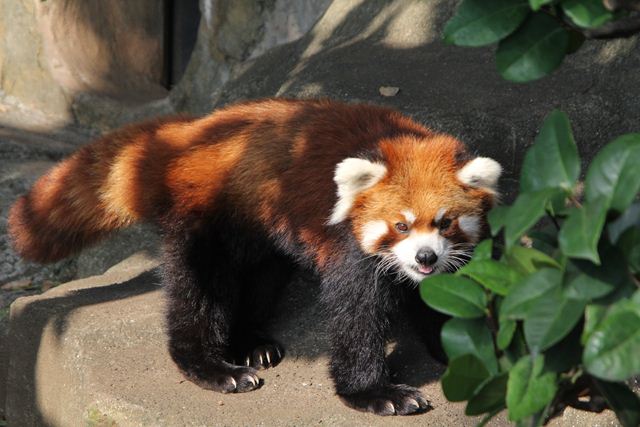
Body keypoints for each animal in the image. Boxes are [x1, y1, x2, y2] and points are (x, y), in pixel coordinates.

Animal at [7, 98, 502, 416]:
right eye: (400, 225)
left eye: (444, 222)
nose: (424, 258)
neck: (394, 140)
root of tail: (193, 131)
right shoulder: (348, 248)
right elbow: (355, 318)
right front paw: (376, 392)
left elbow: (444, 302)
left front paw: (469, 355)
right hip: (203, 219)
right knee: (197, 291)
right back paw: (211, 366)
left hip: (261, 229)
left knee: (261, 279)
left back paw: (251, 342)